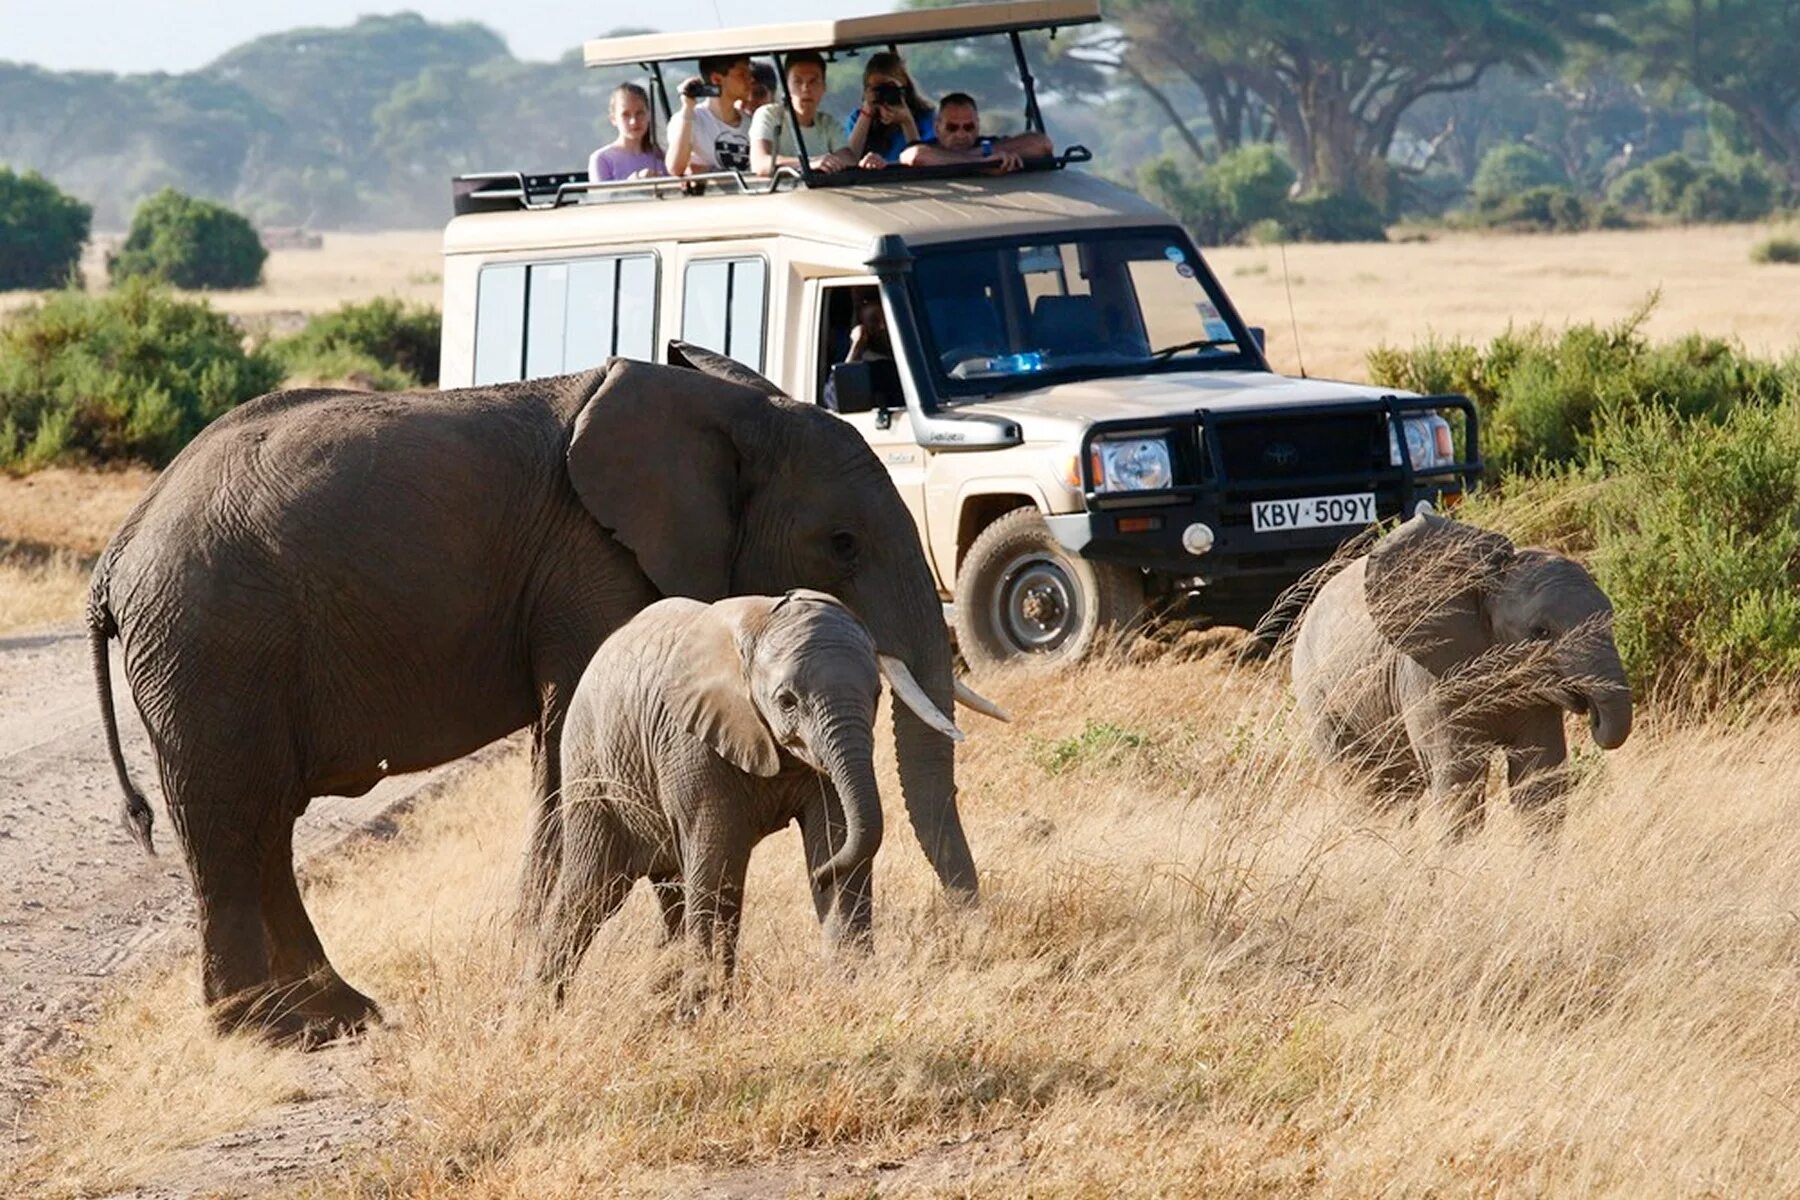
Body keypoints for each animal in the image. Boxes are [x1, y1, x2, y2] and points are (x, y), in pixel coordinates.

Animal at [529, 590, 964, 1007]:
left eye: (876, 693)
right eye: (787, 701)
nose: (819, 876)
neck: (760, 626)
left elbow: (837, 838)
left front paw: (852, 985)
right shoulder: (693, 743)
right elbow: (719, 864)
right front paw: (705, 1011)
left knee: (670, 891)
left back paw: (657, 1003)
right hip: (593, 769)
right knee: (591, 892)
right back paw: (540, 1009)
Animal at [1296, 510, 1634, 831]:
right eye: (1541, 632)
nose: (1592, 714)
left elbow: (1540, 778)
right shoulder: (1429, 677)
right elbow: (1459, 783)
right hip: (1318, 699)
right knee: (1363, 787)